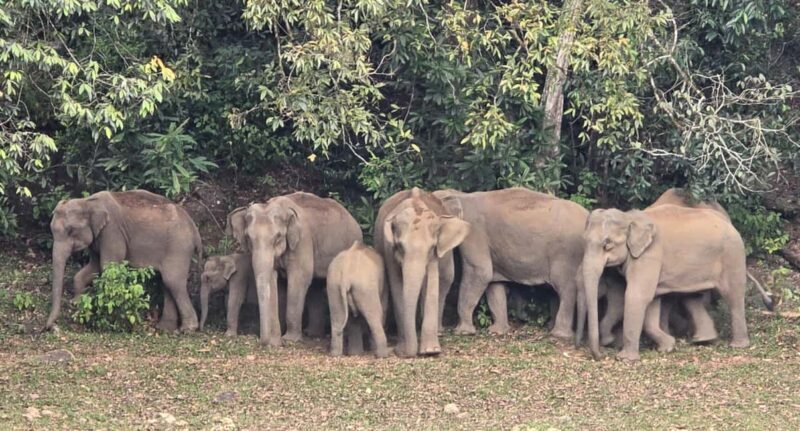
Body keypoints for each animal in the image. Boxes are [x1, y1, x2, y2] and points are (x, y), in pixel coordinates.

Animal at [46, 190, 201, 332]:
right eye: (51, 229)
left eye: (71, 230)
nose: (49, 328)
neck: (88, 202)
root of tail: (195, 230)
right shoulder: (97, 237)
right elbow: (93, 267)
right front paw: (77, 302)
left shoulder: (112, 232)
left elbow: (107, 265)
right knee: (166, 283)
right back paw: (165, 329)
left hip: (179, 248)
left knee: (172, 281)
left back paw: (187, 329)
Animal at [227, 192, 362, 346]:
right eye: (248, 238)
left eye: (278, 237)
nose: (264, 342)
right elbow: (275, 281)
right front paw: (276, 340)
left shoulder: (302, 240)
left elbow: (299, 278)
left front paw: (289, 339)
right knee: (315, 286)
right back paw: (312, 334)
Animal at [374, 187, 470, 357]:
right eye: (400, 246)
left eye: (432, 247)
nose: (398, 351)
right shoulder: (388, 249)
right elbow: (397, 284)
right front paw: (404, 350)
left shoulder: (433, 256)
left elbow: (431, 283)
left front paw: (430, 351)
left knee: (446, 279)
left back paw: (438, 332)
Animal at [433, 188, 587, 340]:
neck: (460, 195)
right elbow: (494, 285)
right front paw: (497, 331)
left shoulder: (474, 233)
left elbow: (480, 273)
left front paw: (462, 332)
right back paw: (551, 328)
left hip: (567, 254)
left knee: (566, 288)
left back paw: (559, 335)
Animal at [581, 204, 750, 361]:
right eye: (585, 241)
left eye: (607, 244)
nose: (601, 355)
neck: (629, 217)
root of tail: (727, 221)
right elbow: (649, 301)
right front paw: (667, 347)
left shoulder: (650, 255)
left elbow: (637, 296)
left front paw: (625, 359)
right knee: (692, 297)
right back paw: (704, 340)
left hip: (733, 254)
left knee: (733, 295)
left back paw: (737, 345)